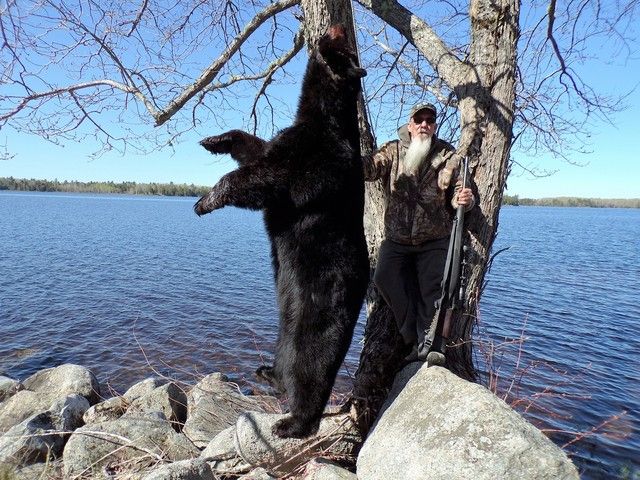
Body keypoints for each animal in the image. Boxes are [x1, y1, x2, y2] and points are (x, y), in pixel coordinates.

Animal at [193, 24, 370, 439]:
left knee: (309, 375)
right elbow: (255, 147)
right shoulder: (285, 141)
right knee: (284, 362)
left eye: (345, 50)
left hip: (316, 321)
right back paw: (266, 372)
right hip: (284, 331)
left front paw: (206, 199)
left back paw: (290, 424)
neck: (323, 118)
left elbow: (263, 178)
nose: (338, 27)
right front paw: (215, 140)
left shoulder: (312, 159)